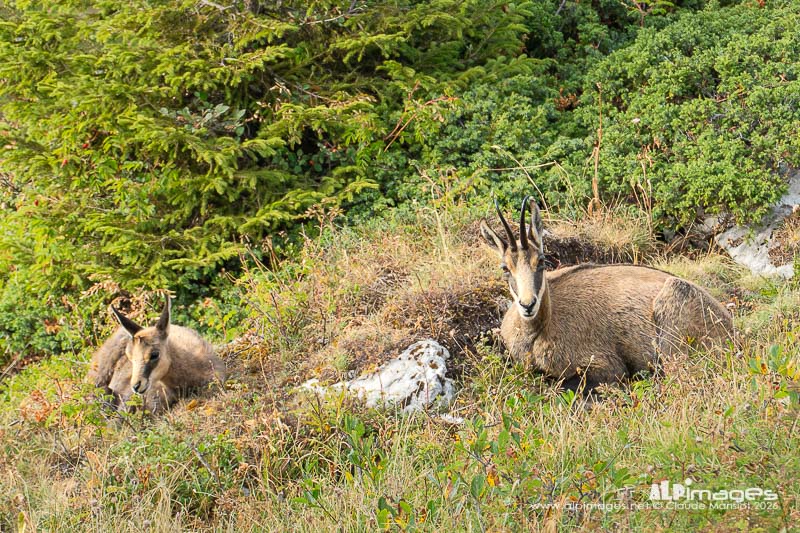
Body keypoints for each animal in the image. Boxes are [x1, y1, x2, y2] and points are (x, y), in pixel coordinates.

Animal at [480, 197, 733, 391]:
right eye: (505, 268)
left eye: (541, 261)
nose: (528, 304)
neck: (538, 331)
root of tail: (731, 328)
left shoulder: (606, 366)